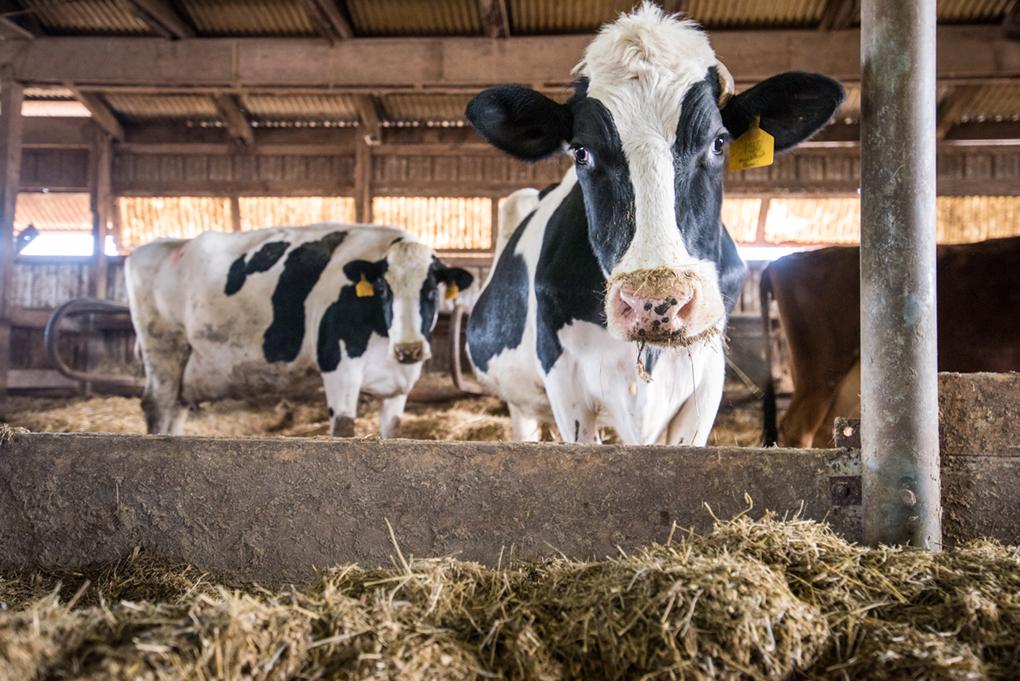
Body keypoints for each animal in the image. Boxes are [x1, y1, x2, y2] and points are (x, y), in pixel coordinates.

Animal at [125, 225, 473, 437]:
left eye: (432, 291)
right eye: (383, 290)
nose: (409, 349)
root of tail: (163, 244)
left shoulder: (398, 387)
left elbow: (392, 432)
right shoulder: (339, 367)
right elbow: (344, 428)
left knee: (176, 408)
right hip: (163, 347)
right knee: (158, 404)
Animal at [463, 3, 844, 445]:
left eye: (718, 142)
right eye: (580, 151)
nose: (656, 301)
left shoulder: (706, 378)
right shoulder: (565, 382)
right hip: (521, 402)